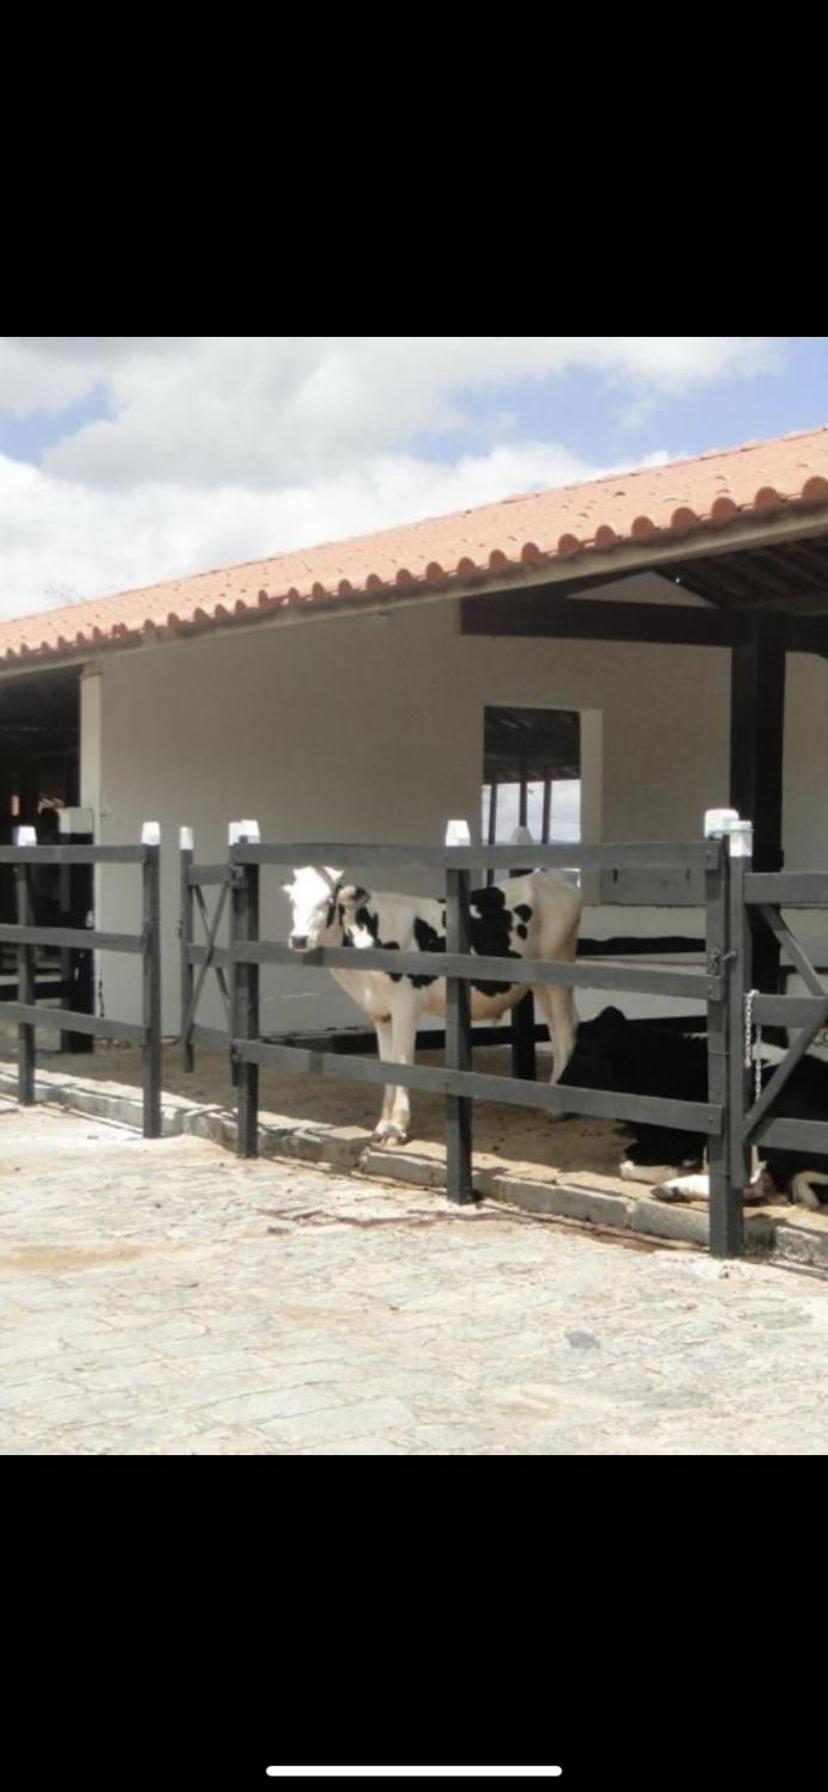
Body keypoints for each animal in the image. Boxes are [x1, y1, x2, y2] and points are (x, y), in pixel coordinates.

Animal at [283, 864, 582, 1145]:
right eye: (293, 901)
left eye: (328, 902)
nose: (298, 939)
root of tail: (553, 877)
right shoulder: (380, 1012)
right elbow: (386, 1062)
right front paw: (382, 1125)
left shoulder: (405, 1005)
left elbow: (403, 1061)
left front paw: (397, 1127)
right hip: (538, 982)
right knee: (559, 1027)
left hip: (557, 970)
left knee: (565, 1028)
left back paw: (559, 1108)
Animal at [558, 1005, 828, 1209]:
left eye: (581, 1052)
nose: (557, 1086)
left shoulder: (673, 1140)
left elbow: (626, 1157)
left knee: (748, 1185)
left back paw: (672, 1185)